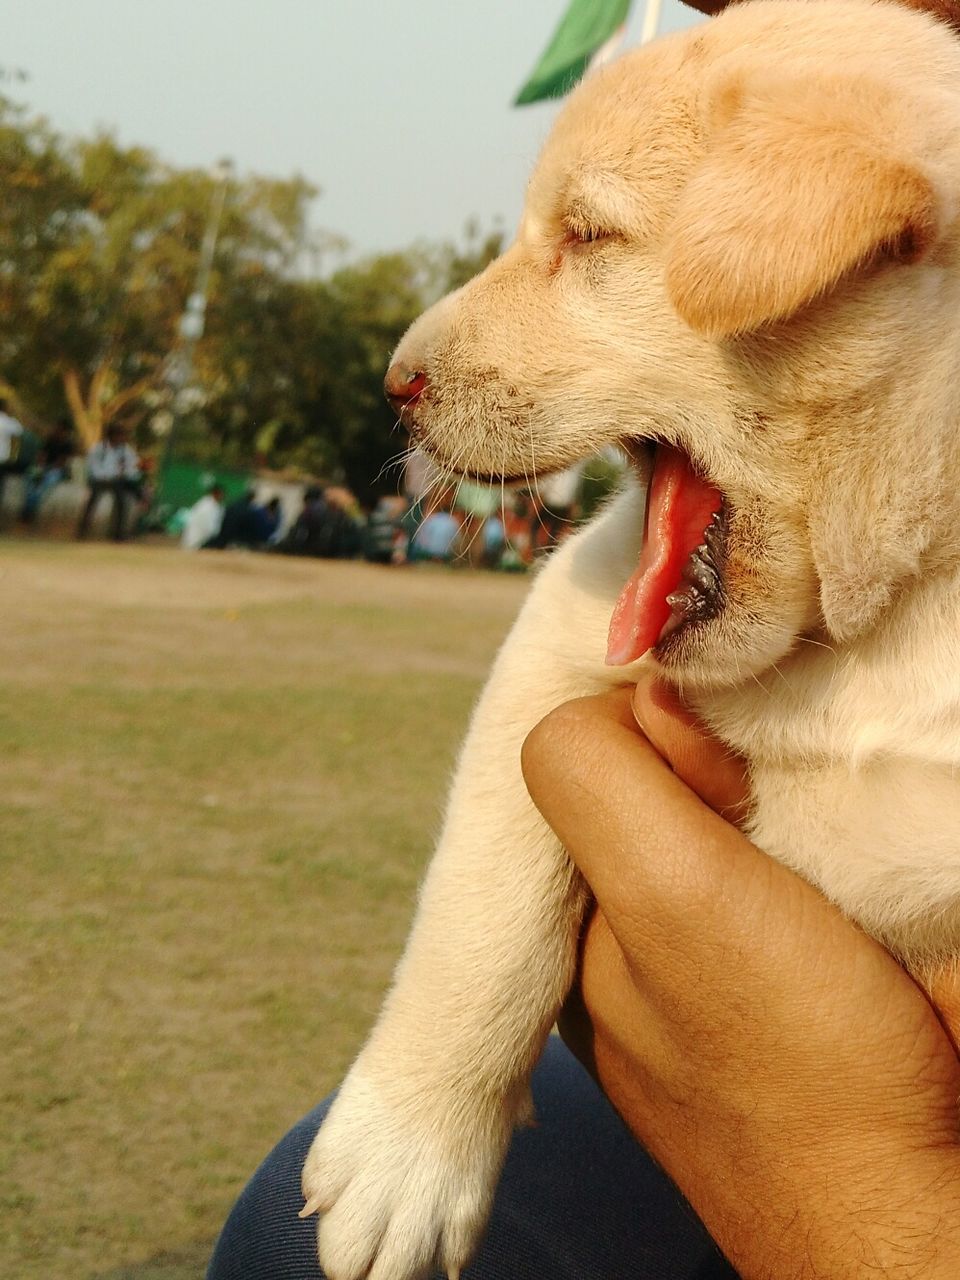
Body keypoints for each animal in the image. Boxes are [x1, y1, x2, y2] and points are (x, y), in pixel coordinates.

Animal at [304, 5, 960, 1274]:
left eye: (589, 235)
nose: (393, 381)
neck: (879, 619)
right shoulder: (561, 631)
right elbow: (482, 908)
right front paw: (403, 1154)